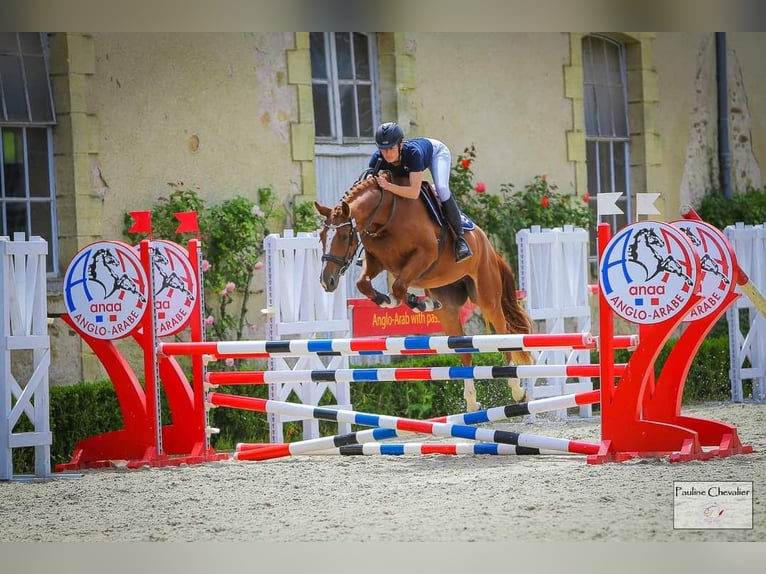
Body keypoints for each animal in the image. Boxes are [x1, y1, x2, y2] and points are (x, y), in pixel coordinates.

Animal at [314, 173, 536, 412]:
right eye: (322, 236)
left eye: (344, 236)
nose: (327, 281)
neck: (386, 215)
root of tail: (488, 246)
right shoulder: (376, 261)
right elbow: (365, 284)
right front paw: (396, 301)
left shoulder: (424, 254)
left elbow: (398, 286)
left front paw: (412, 302)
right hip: (448, 310)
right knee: (463, 349)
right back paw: (471, 400)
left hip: (487, 297)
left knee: (504, 336)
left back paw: (518, 391)